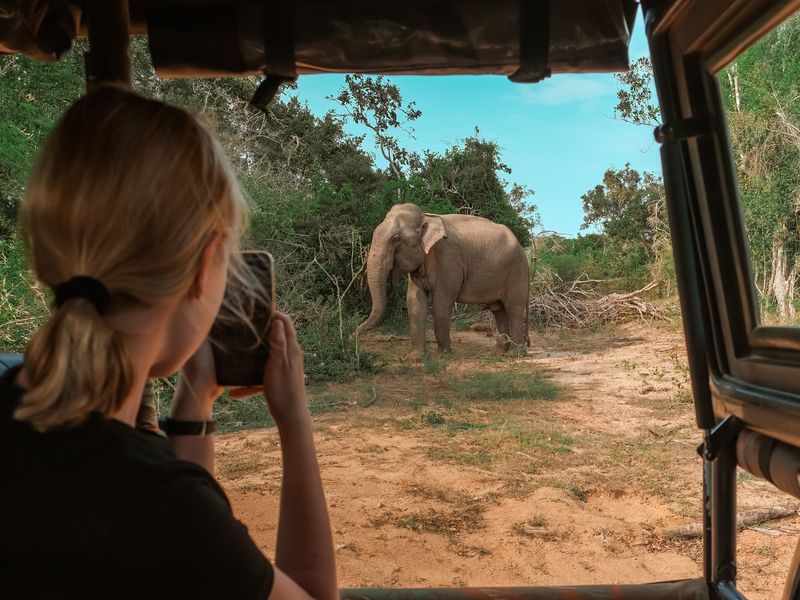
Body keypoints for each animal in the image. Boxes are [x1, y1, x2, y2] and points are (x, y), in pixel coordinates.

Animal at [356, 205, 532, 356]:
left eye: (396, 238)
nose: (353, 335)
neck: (426, 216)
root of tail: (523, 251)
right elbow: (415, 301)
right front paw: (415, 357)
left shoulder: (448, 260)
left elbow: (442, 301)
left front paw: (443, 356)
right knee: (498, 310)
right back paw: (499, 353)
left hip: (517, 272)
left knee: (514, 310)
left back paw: (516, 354)